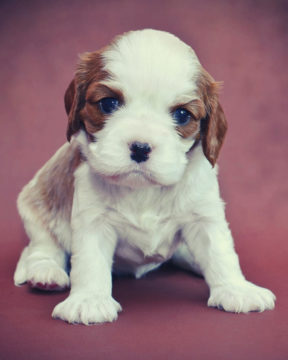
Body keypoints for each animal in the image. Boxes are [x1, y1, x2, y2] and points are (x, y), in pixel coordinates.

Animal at [14, 29, 276, 324]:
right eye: (108, 103)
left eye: (182, 114)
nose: (140, 147)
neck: (143, 189)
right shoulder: (93, 218)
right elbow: (90, 260)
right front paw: (89, 300)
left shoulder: (204, 214)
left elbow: (220, 251)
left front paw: (236, 289)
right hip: (37, 201)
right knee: (42, 245)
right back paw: (45, 272)